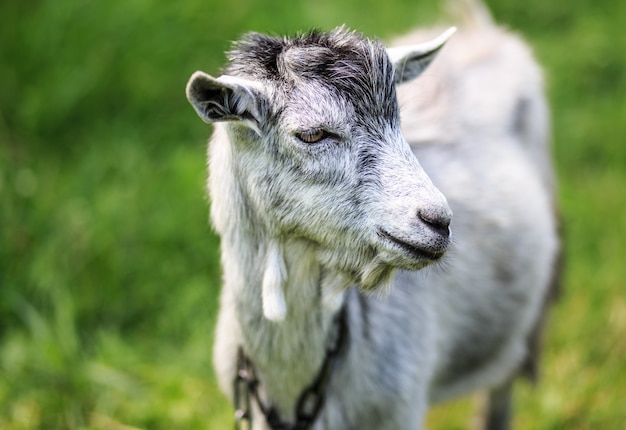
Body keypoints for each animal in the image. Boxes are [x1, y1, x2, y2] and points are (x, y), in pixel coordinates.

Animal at [184, 5, 556, 428]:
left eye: (398, 121)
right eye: (312, 134)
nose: (438, 221)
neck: (290, 383)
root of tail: (481, 29)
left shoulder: (400, 410)